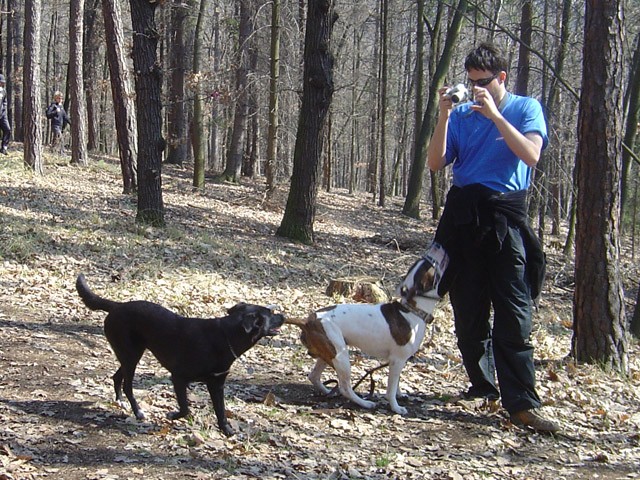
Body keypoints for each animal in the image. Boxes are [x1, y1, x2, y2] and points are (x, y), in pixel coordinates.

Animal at [75, 274, 284, 436]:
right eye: (270, 313)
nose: (283, 315)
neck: (226, 336)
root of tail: (116, 306)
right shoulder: (178, 377)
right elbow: (185, 408)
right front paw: (172, 415)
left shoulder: (217, 384)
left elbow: (221, 412)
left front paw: (228, 432)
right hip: (130, 355)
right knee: (127, 385)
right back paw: (138, 412)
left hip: (131, 354)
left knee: (117, 377)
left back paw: (120, 402)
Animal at [288, 255, 442, 416]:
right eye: (434, 269)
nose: (435, 257)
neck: (412, 310)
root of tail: (307, 321)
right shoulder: (397, 360)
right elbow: (390, 390)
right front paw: (396, 407)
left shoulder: (397, 362)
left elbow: (396, 382)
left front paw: (400, 394)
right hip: (341, 357)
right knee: (345, 388)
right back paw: (365, 403)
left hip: (328, 353)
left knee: (314, 376)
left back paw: (328, 391)